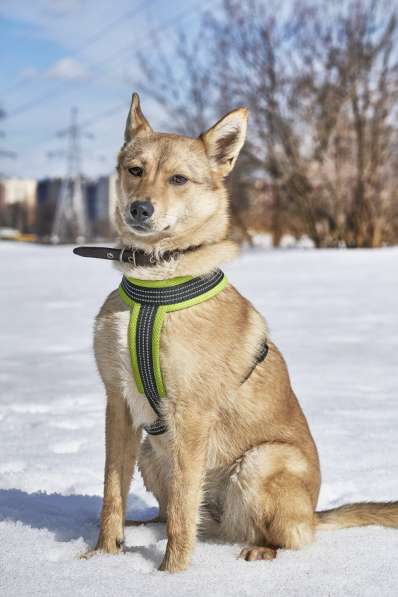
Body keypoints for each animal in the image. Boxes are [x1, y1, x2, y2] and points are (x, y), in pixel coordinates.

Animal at [84, 92, 398, 568]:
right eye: (135, 170)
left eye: (179, 179)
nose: (140, 209)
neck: (155, 287)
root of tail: (314, 511)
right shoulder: (117, 403)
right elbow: (111, 490)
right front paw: (104, 555)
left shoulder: (189, 414)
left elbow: (183, 508)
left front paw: (170, 573)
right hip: (150, 452)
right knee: (181, 512)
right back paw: (146, 525)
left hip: (261, 461)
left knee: (288, 535)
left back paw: (261, 548)